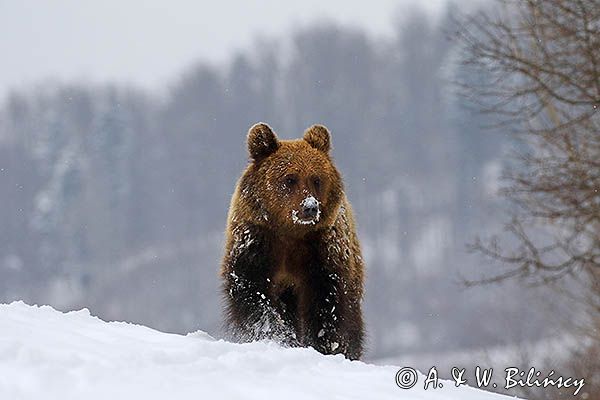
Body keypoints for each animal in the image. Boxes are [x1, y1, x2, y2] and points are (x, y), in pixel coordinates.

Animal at [219, 122, 364, 360]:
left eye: (316, 179)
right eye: (289, 178)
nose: (310, 207)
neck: (290, 233)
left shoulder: (323, 252)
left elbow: (327, 306)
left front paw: (326, 345)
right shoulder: (257, 244)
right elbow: (254, 296)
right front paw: (278, 336)